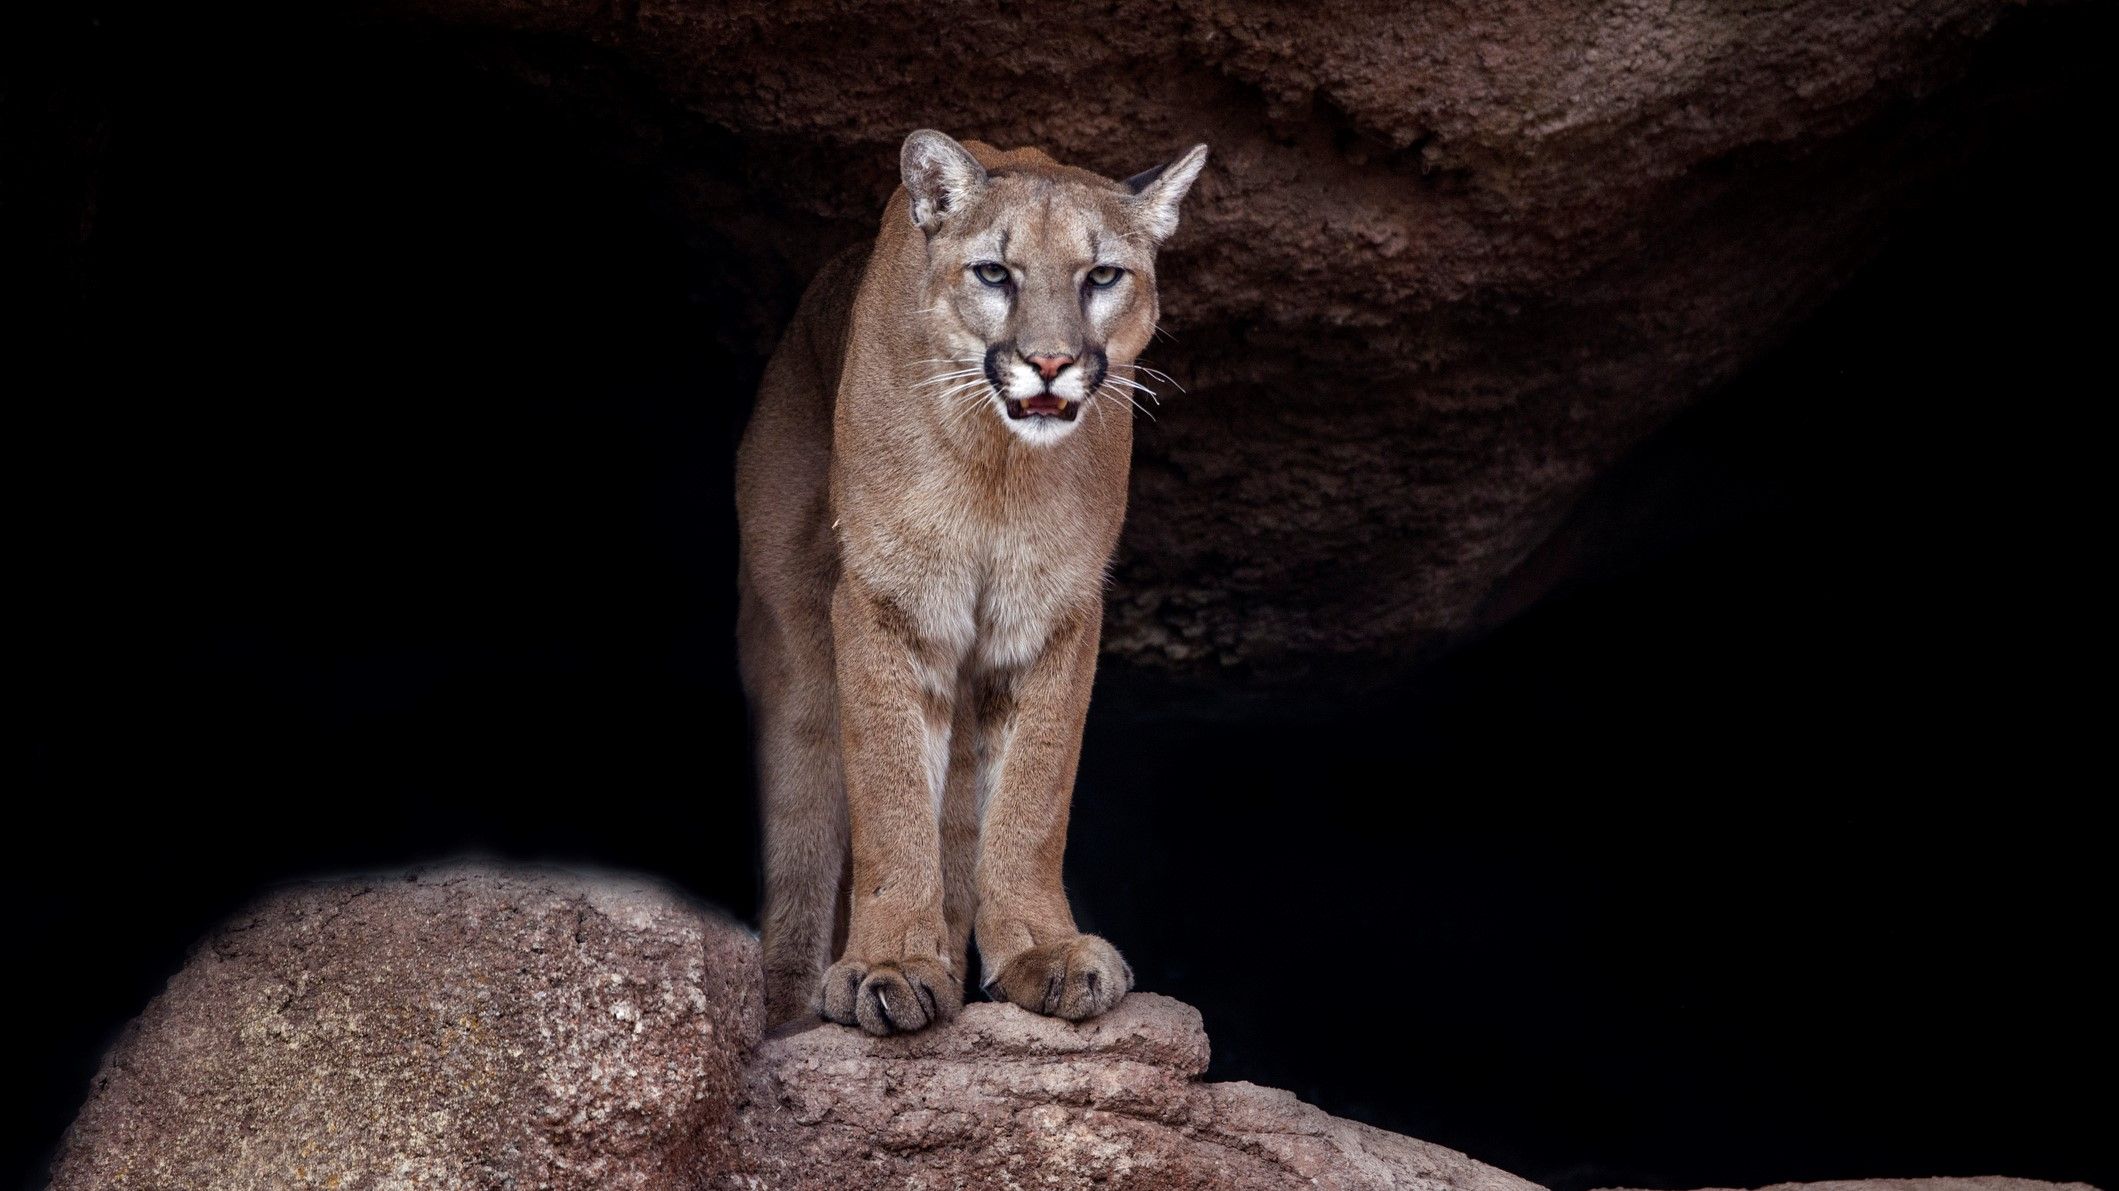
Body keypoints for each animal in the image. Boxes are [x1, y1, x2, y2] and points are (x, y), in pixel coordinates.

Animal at [736, 129, 1208, 1034]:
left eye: (1102, 275)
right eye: (994, 272)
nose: (1049, 362)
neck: (998, 466)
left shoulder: (1053, 614)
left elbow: (1031, 799)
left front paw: (1039, 950)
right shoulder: (882, 601)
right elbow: (888, 792)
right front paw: (886, 962)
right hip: (793, 638)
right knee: (807, 805)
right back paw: (788, 1003)